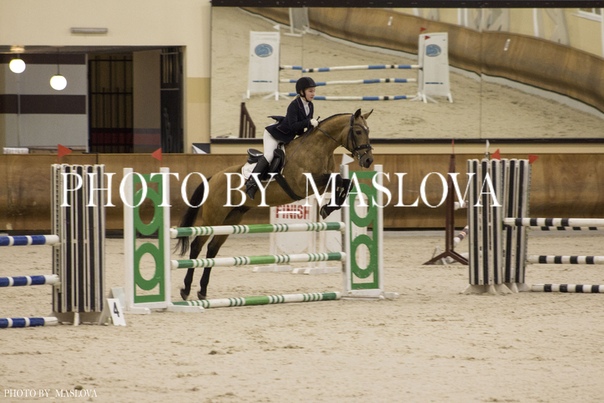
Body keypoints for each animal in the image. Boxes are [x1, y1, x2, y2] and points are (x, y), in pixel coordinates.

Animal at [177, 108, 374, 300]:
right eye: (358, 131)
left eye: (368, 131)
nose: (368, 160)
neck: (318, 148)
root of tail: (213, 178)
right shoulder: (304, 184)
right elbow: (339, 179)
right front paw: (328, 208)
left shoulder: (319, 184)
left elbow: (345, 182)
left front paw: (329, 207)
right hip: (214, 217)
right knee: (197, 245)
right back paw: (186, 289)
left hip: (233, 217)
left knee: (212, 248)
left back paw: (202, 291)